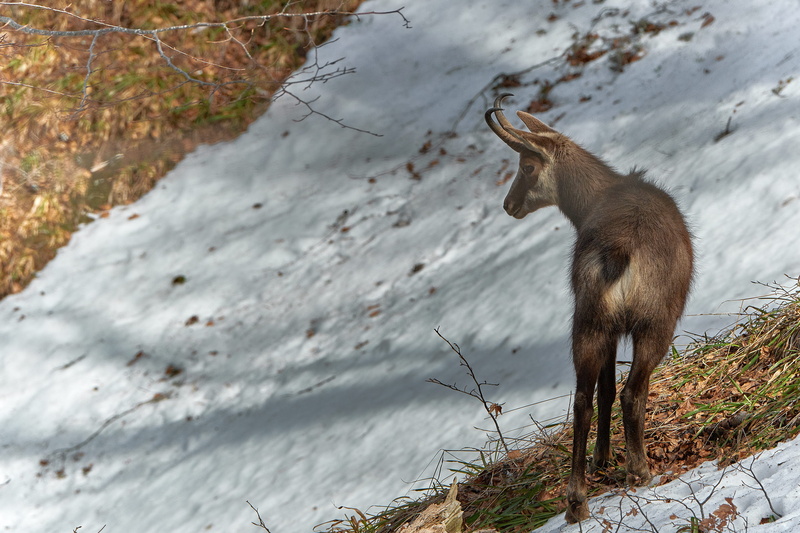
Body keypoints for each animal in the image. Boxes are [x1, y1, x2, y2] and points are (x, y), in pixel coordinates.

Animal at [485, 94, 693, 523]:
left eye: (527, 166)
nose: (509, 204)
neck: (598, 197)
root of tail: (620, 251)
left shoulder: (609, 330)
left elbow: (603, 391)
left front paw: (601, 459)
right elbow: (615, 389)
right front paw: (612, 459)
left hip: (589, 321)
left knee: (581, 399)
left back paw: (576, 500)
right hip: (653, 323)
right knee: (633, 391)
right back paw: (639, 470)